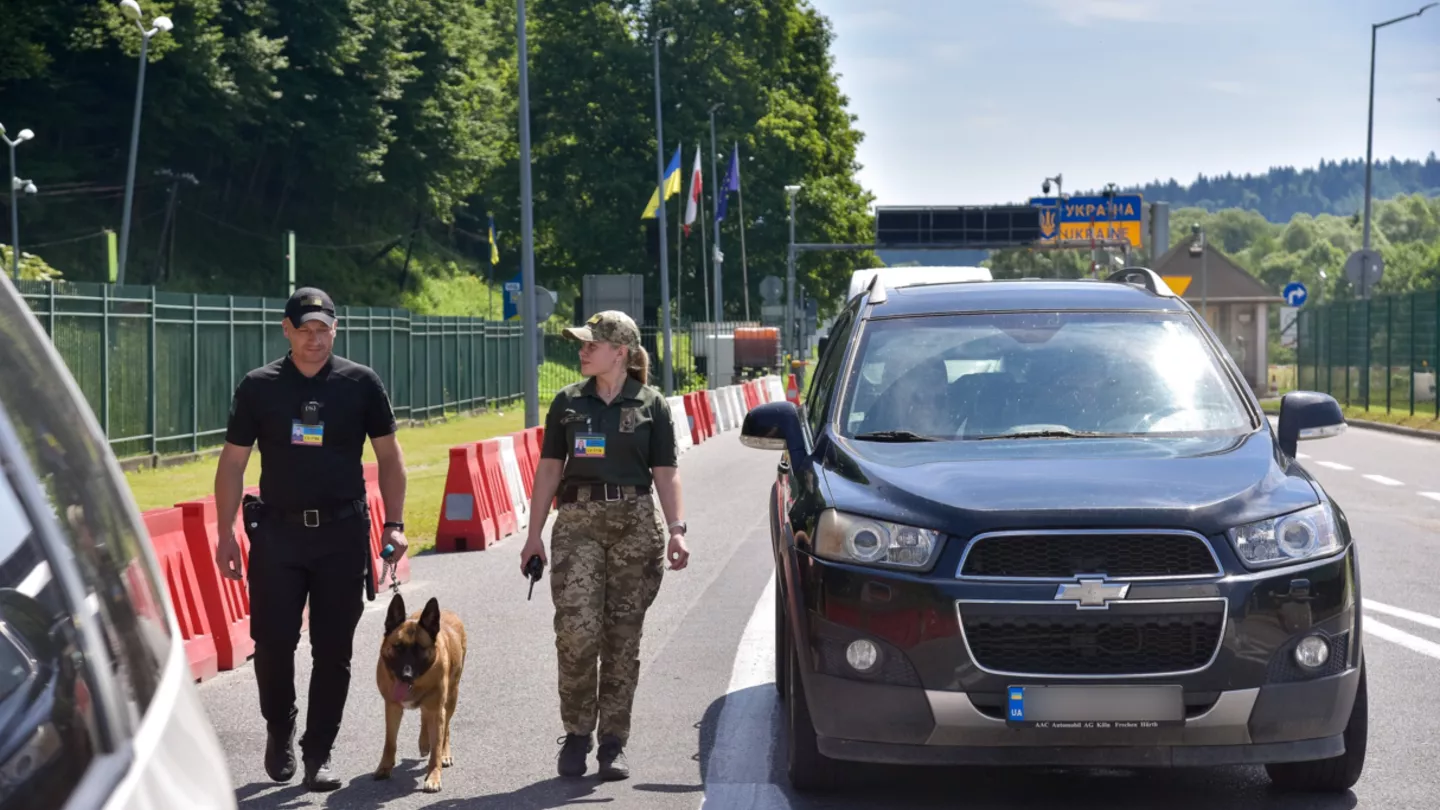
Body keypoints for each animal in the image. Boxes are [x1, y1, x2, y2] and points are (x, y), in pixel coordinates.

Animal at [371, 590, 466, 789]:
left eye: (419, 649)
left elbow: (436, 746)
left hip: (451, 697)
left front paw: (434, 776)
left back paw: (444, 753)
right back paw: (424, 742)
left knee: (445, 728)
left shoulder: (437, 709)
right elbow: (390, 742)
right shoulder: (392, 707)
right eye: (398, 647)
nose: (406, 676)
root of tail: (447, 611)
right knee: (425, 715)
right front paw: (384, 767)